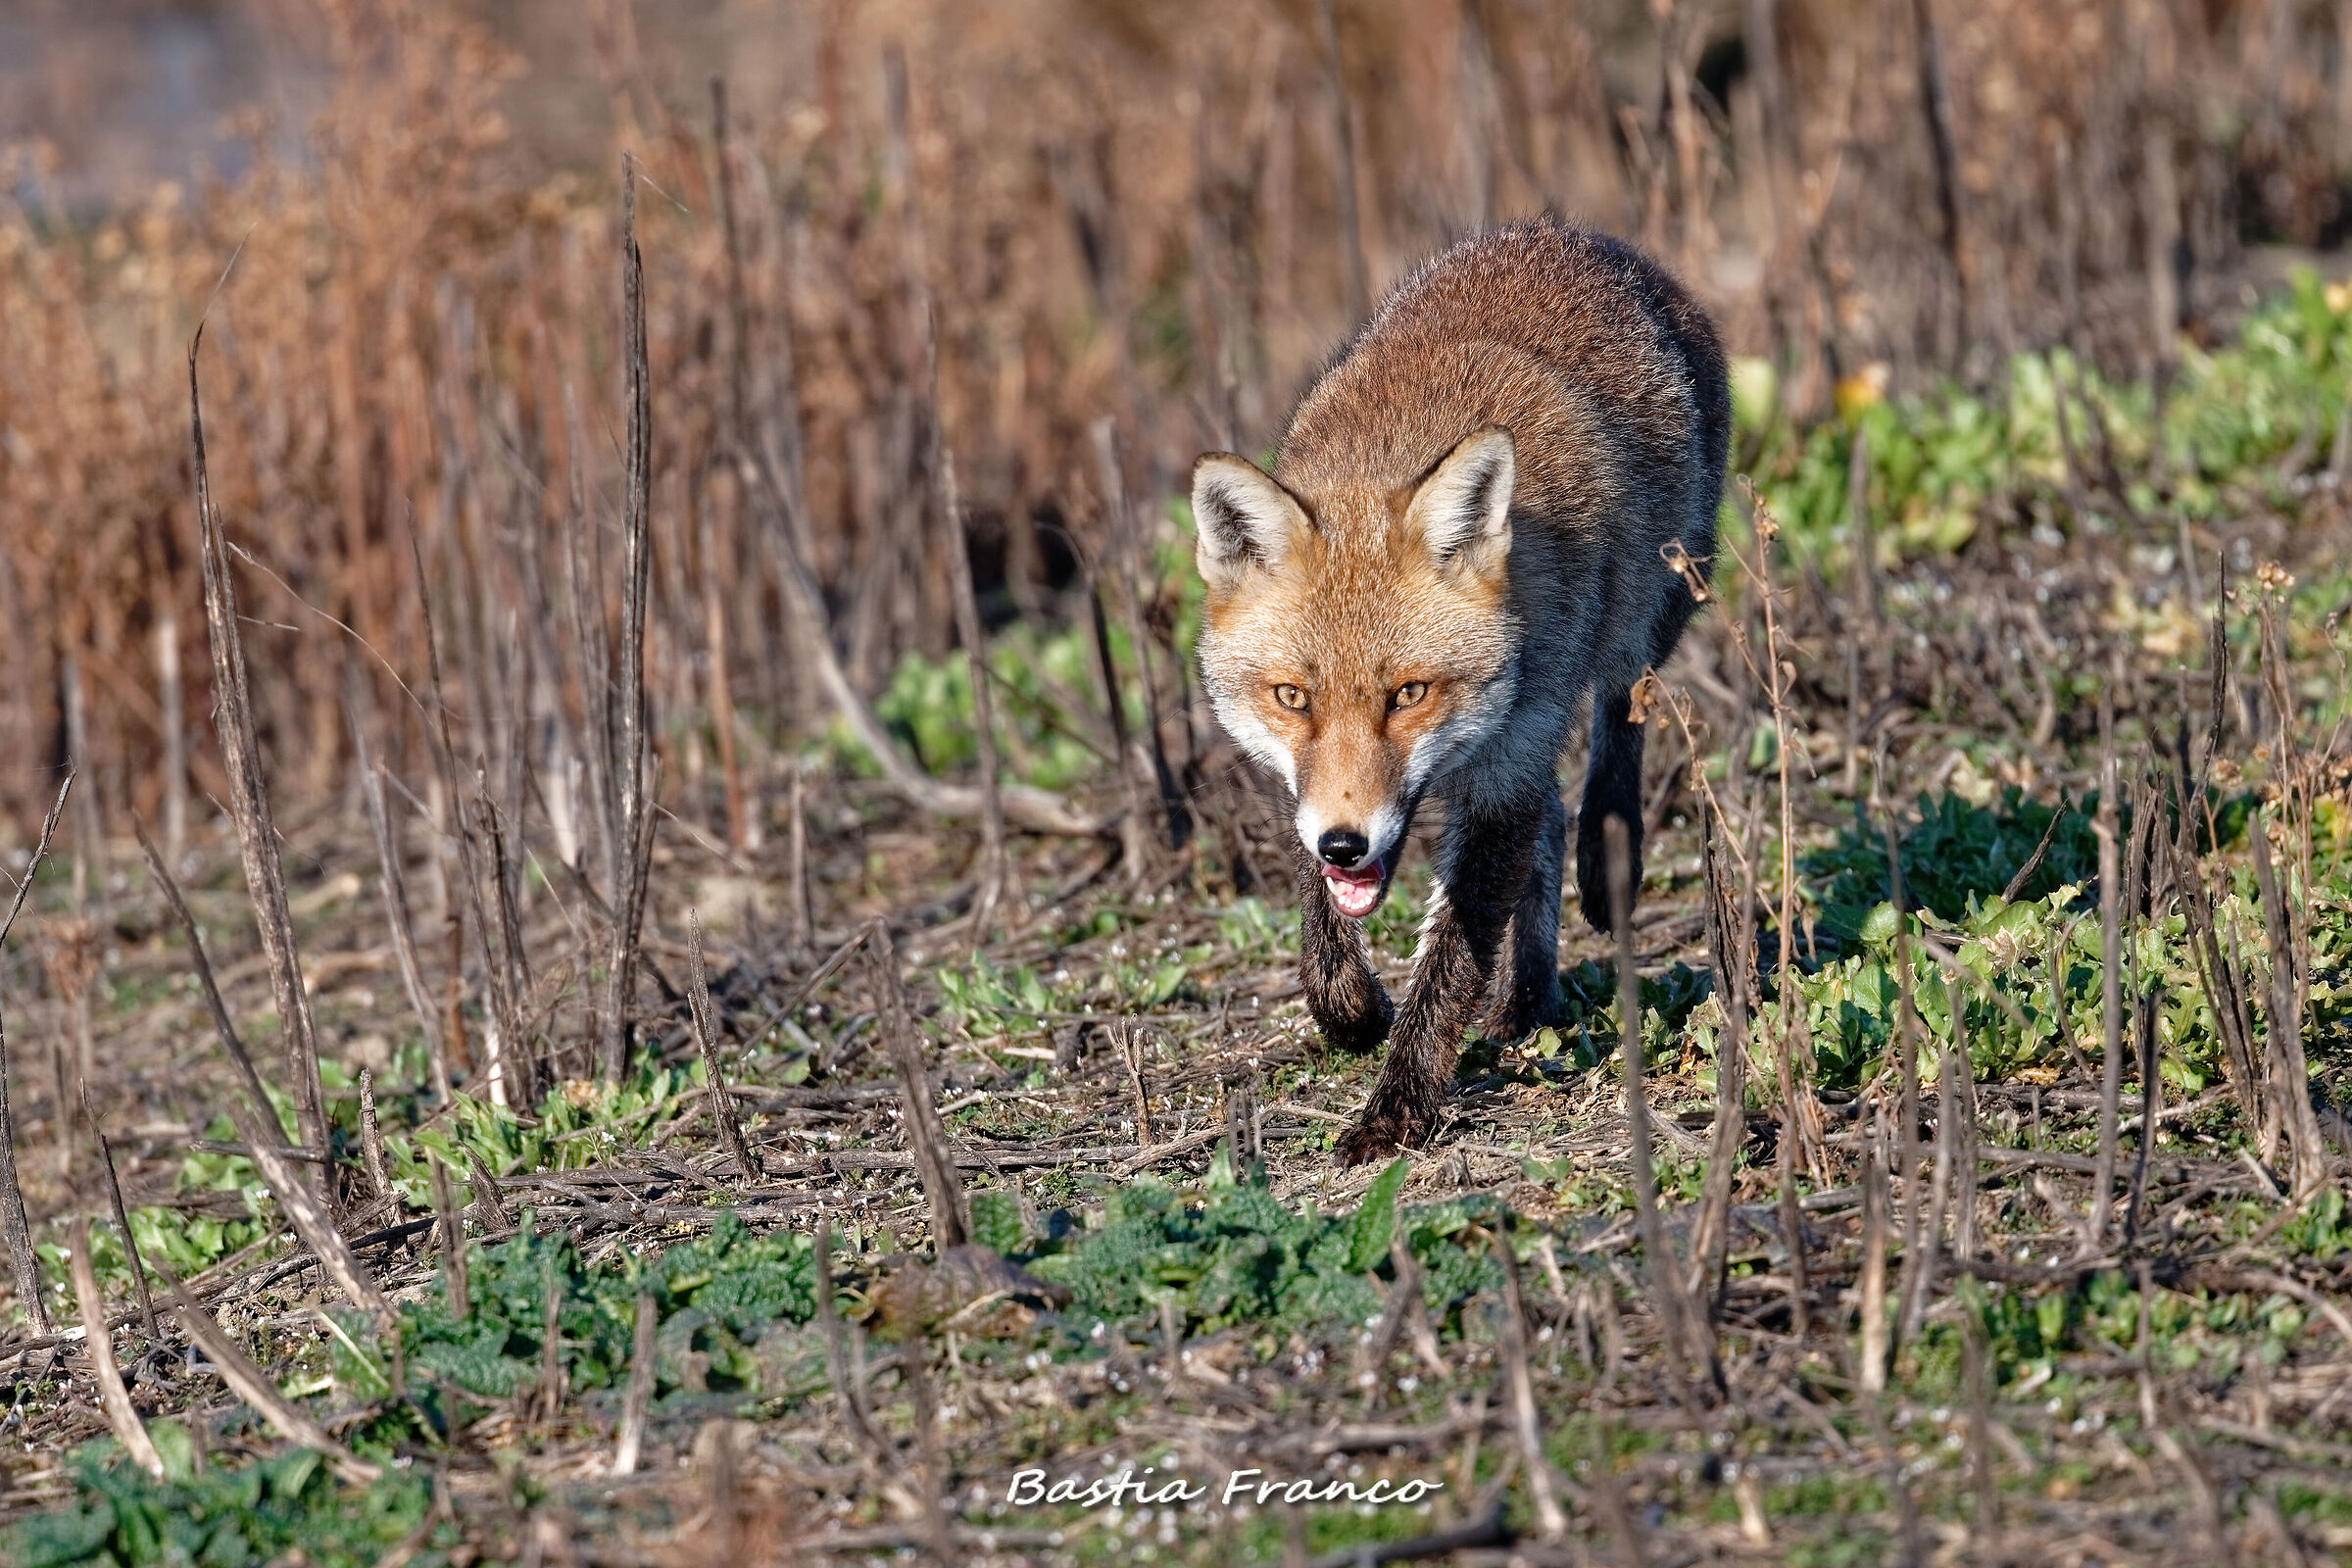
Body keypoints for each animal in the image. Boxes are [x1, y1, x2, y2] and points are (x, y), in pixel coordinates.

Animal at [1190, 217, 1728, 1166]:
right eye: (1293, 699)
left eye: (1407, 694)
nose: (1345, 844)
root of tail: (1568, 235)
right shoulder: (1311, 790)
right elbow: (1323, 936)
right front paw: (1354, 1013)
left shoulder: (1509, 760)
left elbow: (1448, 969)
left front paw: (1396, 1108)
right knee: (1550, 822)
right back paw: (1526, 1002)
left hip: (1654, 613)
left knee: (1616, 724)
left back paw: (1604, 855)